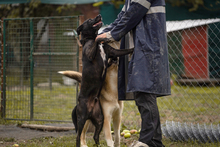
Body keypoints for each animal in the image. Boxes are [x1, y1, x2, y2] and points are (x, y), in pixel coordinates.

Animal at [59, 14, 133, 146]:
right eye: (89, 20)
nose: (99, 15)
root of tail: (90, 111)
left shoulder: (113, 51)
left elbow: (125, 50)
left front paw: (134, 49)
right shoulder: (90, 54)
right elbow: (97, 40)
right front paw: (99, 38)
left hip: (99, 120)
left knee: (95, 136)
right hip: (82, 119)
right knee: (78, 136)